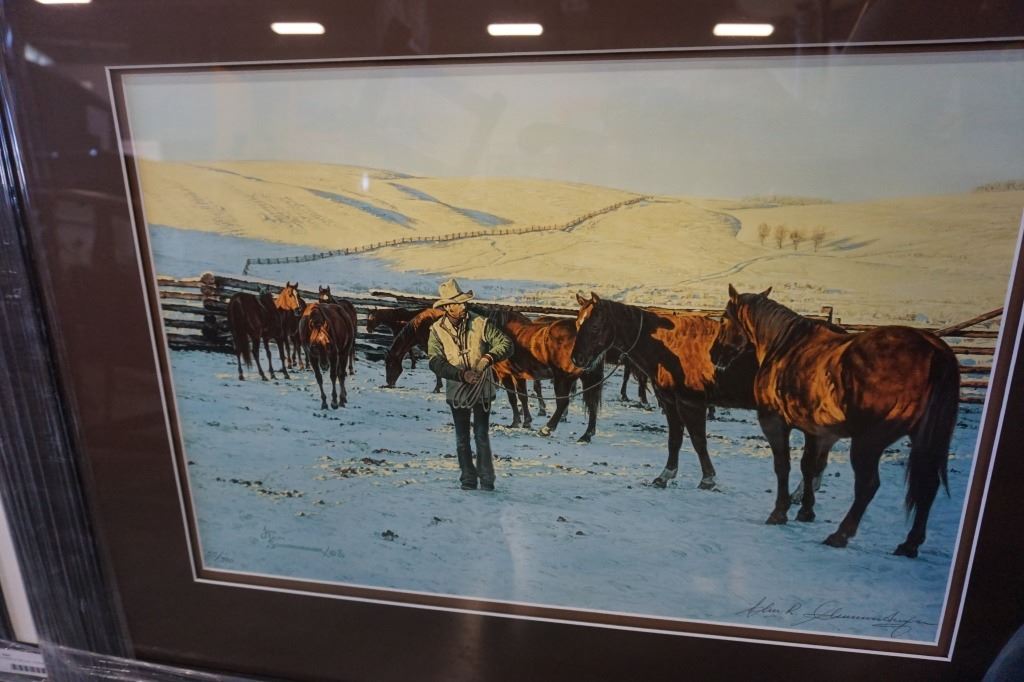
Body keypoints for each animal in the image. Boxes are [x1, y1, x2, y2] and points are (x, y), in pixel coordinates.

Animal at [710, 285, 959, 558]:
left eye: (723, 319)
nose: (714, 354)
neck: (784, 346)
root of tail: (935, 351)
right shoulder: (816, 431)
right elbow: (809, 467)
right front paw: (805, 511)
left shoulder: (774, 422)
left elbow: (783, 466)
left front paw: (779, 512)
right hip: (923, 440)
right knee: (928, 485)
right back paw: (909, 544)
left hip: (869, 441)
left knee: (868, 485)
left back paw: (840, 535)